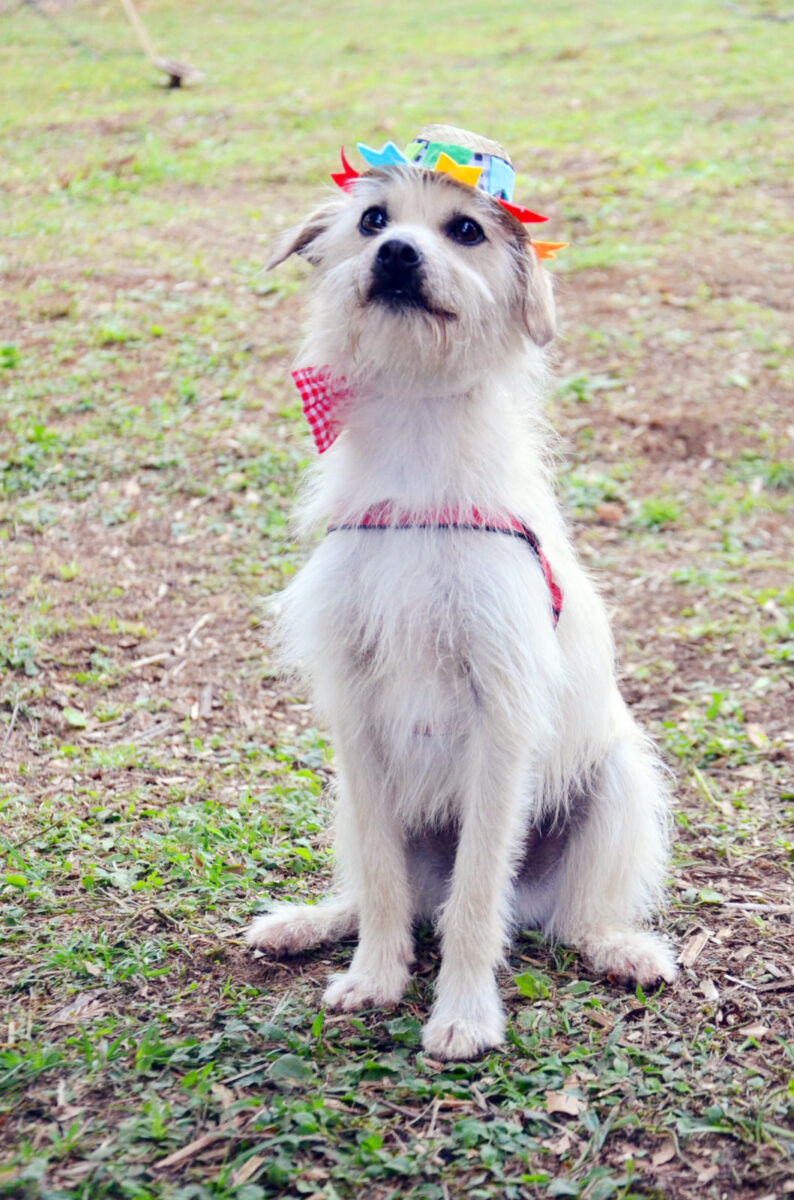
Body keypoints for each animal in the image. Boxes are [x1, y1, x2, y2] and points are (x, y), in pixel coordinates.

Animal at [249, 124, 676, 1060]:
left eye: (467, 231)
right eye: (374, 220)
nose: (398, 254)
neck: (417, 429)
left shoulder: (502, 712)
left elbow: (479, 891)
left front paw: (466, 1014)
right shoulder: (355, 708)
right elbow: (380, 873)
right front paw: (376, 975)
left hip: (618, 782)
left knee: (559, 917)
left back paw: (621, 947)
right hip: (354, 798)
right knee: (392, 892)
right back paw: (311, 922)